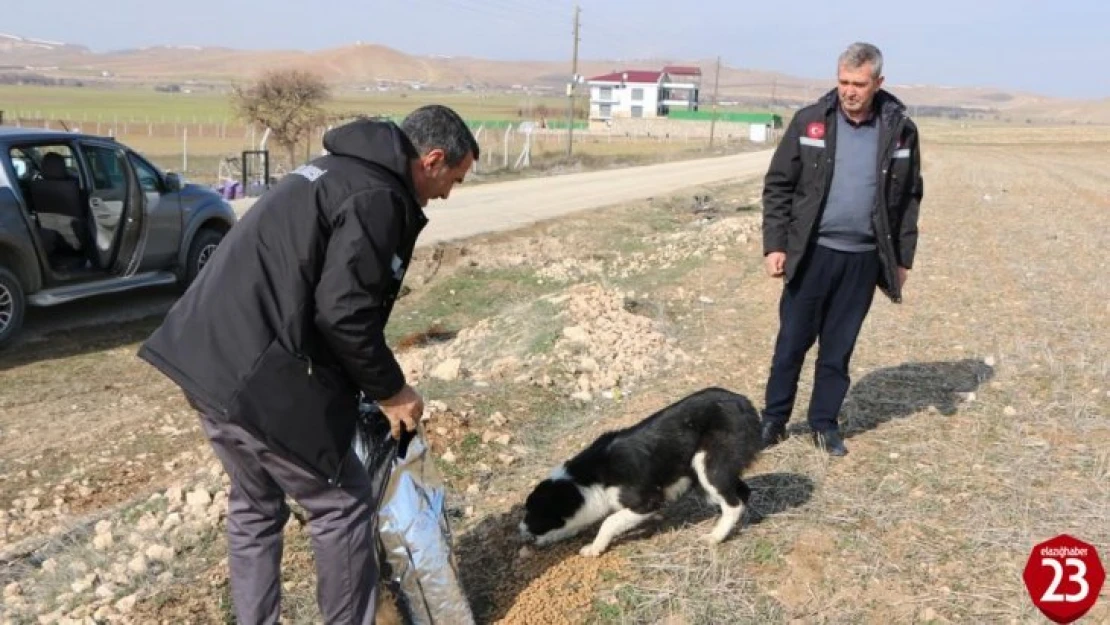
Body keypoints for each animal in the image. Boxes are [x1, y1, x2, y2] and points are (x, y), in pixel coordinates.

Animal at [519, 386, 763, 557]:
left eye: (532, 511)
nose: (519, 529)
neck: (587, 479)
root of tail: (743, 401)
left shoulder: (647, 501)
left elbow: (609, 522)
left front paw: (595, 547)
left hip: (707, 465)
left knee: (733, 504)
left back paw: (716, 536)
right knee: (743, 493)